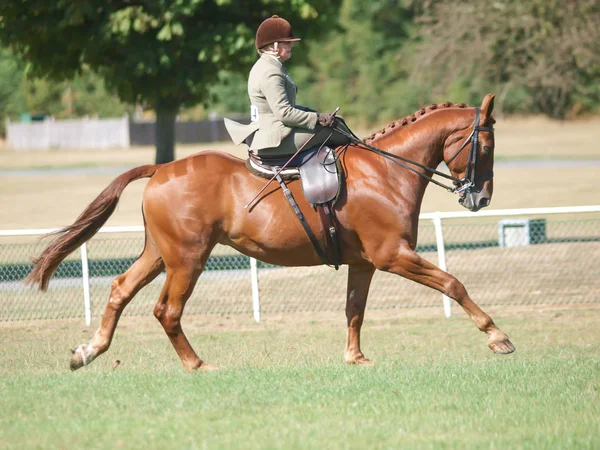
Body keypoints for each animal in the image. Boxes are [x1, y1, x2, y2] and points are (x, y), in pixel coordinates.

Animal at [27, 93, 516, 370]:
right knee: (167, 310)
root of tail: (162, 168)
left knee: (120, 290)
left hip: (160, 254)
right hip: (188, 259)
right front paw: (497, 337)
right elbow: (453, 283)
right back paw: (196, 365)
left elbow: (354, 310)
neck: (387, 171)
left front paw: (356, 358)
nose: (481, 198)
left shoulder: (365, 263)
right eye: (486, 144)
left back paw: (88, 352)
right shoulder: (393, 255)